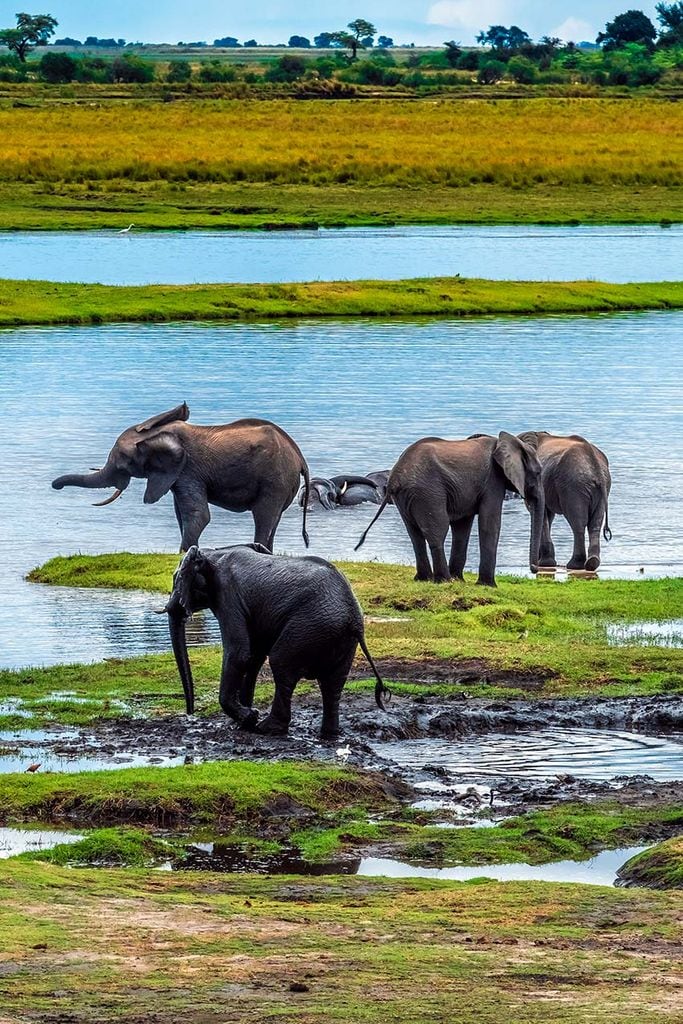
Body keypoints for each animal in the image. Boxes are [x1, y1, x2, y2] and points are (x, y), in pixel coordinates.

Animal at [51, 403, 313, 557]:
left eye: (124, 463)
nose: (56, 486)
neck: (157, 432)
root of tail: (300, 457)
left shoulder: (189, 470)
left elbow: (198, 514)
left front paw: (185, 554)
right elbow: (180, 512)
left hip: (275, 478)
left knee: (263, 515)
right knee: (273, 519)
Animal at [165, 544, 389, 737]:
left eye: (175, 579)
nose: (190, 715)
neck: (212, 553)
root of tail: (354, 619)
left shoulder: (228, 596)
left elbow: (239, 653)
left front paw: (249, 718)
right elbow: (253, 657)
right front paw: (241, 721)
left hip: (309, 627)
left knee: (282, 664)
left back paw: (268, 728)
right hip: (338, 638)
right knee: (333, 683)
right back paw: (329, 733)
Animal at [358, 430, 544, 589]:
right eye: (538, 472)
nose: (535, 568)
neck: (509, 441)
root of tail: (394, 478)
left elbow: (462, 527)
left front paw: (460, 580)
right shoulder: (492, 481)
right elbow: (490, 524)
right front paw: (488, 586)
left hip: (406, 497)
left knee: (415, 534)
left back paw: (425, 579)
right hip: (428, 491)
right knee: (438, 530)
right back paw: (444, 580)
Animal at [518, 430, 614, 573]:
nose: (534, 568)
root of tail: (596, 466)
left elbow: (540, 513)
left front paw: (545, 563)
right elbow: (547, 515)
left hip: (573, 486)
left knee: (578, 524)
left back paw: (575, 565)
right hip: (602, 489)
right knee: (595, 524)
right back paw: (592, 563)